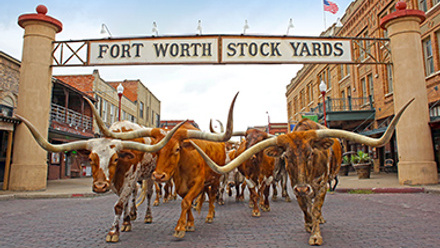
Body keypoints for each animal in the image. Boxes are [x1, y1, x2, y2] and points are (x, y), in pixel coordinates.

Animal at [14, 113, 181, 243]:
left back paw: (148, 216)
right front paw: (125, 222)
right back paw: (132, 215)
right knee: (134, 193)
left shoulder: (130, 177)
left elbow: (119, 205)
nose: (100, 186)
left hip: (150, 174)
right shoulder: (117, 182)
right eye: (90, 158)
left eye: (115, 159)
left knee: (148, 194)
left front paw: (113, 232)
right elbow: (124, 201)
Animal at [191, 99, 414, 246]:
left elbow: (314, 208)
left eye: (310, 153)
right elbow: (302, 207)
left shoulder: (318, 184)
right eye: (287, 156)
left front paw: (315, 233)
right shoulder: (291, 184)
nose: (250, 151)